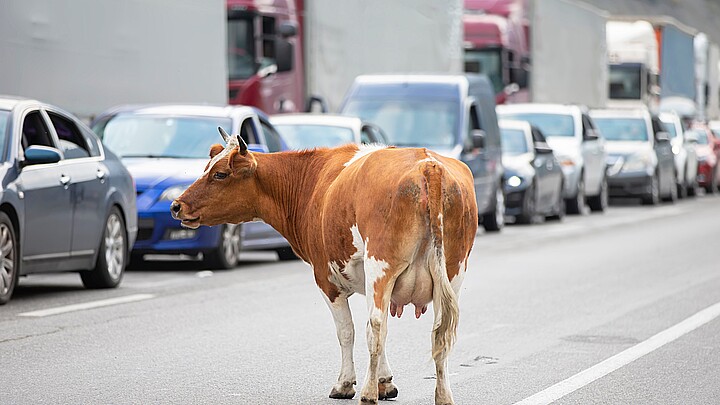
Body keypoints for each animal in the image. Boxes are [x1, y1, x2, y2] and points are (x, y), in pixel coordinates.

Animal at [172, 128, 478, 402]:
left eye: (219, 174)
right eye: (206, 167)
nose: (176, 205)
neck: (312, 180)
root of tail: (427, 164)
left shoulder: (326, 279)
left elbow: (347, 331)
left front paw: (346, 384)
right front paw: (385, 382)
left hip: (380, 267)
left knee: (376, 327)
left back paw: (368, 394)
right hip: (452, 273)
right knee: (439, 333)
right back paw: (443, 396)